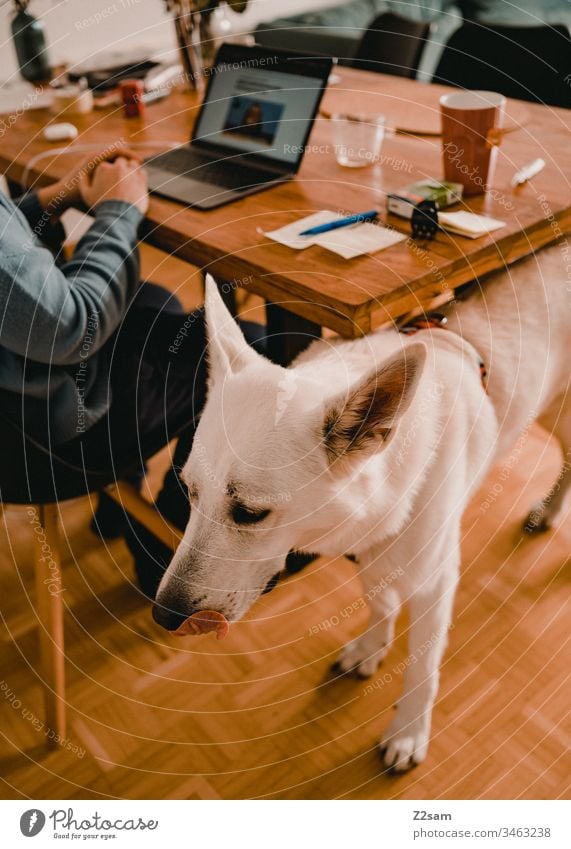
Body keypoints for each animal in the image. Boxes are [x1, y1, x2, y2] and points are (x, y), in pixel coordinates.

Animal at [153, 242, 571, 772]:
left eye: (249, 513)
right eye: (189, 492)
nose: (163, 616)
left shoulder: (434, 580)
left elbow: (422, 669)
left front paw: (409, 733)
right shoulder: (374, 548)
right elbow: (378, 600)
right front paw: (373, 647)